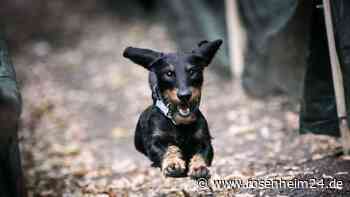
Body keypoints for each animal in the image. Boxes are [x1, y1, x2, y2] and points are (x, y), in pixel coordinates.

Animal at [123, 39, 221, 179]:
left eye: (192, 71)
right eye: (169, 73)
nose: (184, 95)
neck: (179, 123)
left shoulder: (205, 141)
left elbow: (201, 153)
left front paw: (199, 168)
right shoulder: (154, 141)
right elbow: (168, 148)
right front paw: (172, 164)